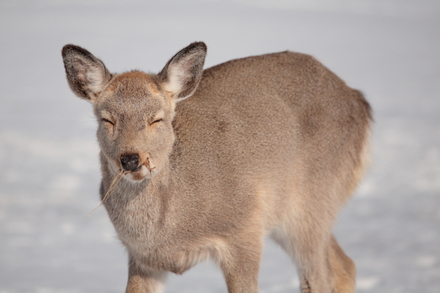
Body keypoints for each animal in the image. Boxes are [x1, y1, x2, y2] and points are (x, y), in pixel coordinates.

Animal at [62, 41, 372, 292]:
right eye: (107, 119)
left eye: (157, 119)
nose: (130, 159)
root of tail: (360, 102)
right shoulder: (142, 257)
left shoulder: (245, 229)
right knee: (345, 265)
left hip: (313, 199)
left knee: (320, 277)